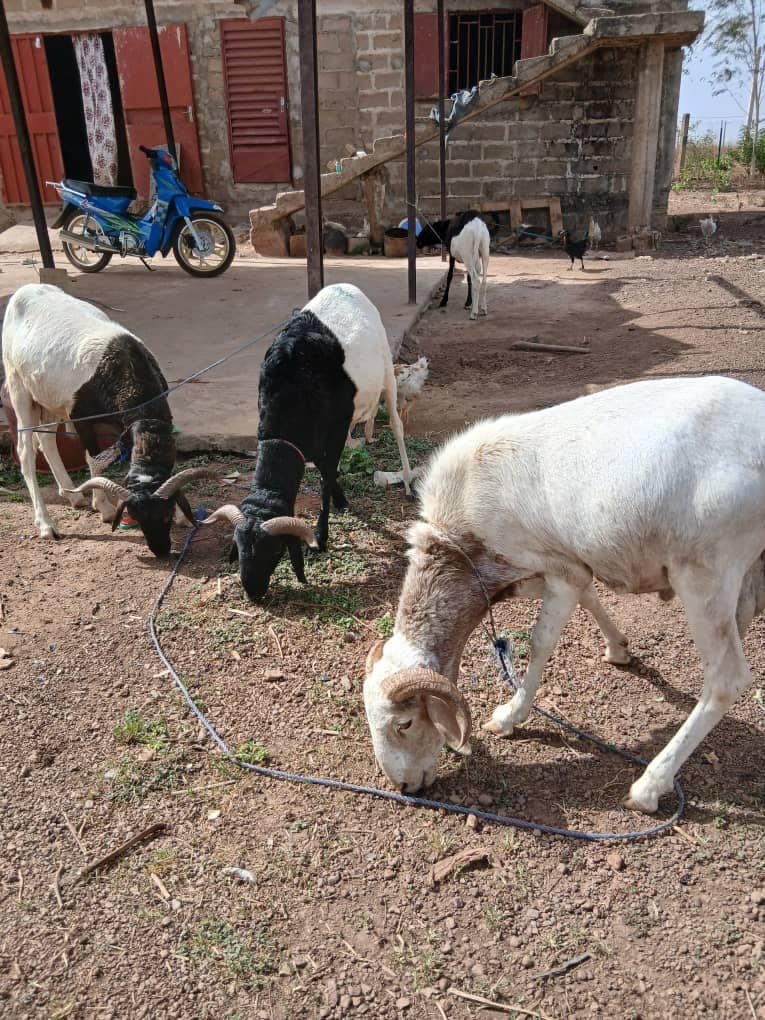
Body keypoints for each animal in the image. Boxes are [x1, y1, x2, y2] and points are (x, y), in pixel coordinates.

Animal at [2, 283, 208, 556]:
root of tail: (25, 290)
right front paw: (104, 507)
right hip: (18, 385)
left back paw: (72, 494)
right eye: (138, 518)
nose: (161, 551)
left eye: (167, 515)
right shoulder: (81, 416)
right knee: (26, 451)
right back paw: (46, 524)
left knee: (47, 442)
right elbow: (95, 460)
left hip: (50, 398)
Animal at [203, 283, 413, 600]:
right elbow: (327, 469)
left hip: (387, 372)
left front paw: (321, 537)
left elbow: (326, 475)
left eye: (275, 551)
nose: (252, 591)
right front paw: (341, 500)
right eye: (238, 548)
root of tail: (346, 287)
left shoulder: (335, 428)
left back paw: (409, 481)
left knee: (397, 427)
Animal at [364, 375, 765, 813]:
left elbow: (540, 644)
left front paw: (510, 715)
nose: (404, 787)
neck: (460, 545)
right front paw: (618, 649)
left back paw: (650, 784)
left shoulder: (557, 571)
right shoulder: (571, 564)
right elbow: (591, 598)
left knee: (726, 679)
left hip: (705, 575)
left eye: (404, 723)